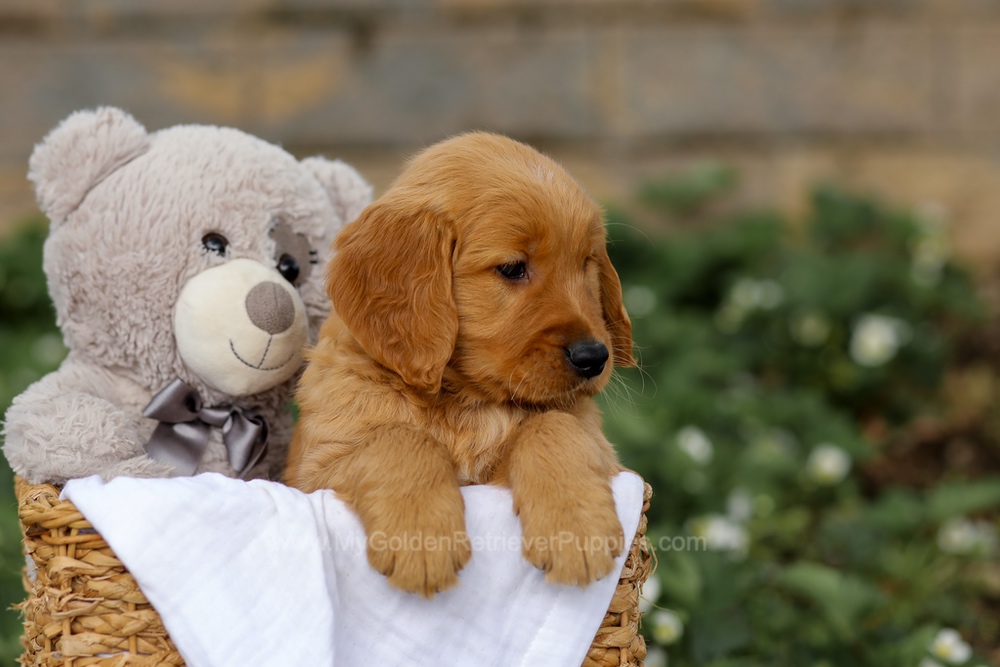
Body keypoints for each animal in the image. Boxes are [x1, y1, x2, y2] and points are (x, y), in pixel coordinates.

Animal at [285, 132, 635, 597]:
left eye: (586, 263)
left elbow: (555, 424)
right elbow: (399, 437)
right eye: (513, 268)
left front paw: (576, 527)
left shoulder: (590, 444)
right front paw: (421, 538)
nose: (593, 357)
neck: (464, 401)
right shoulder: (314, 471)